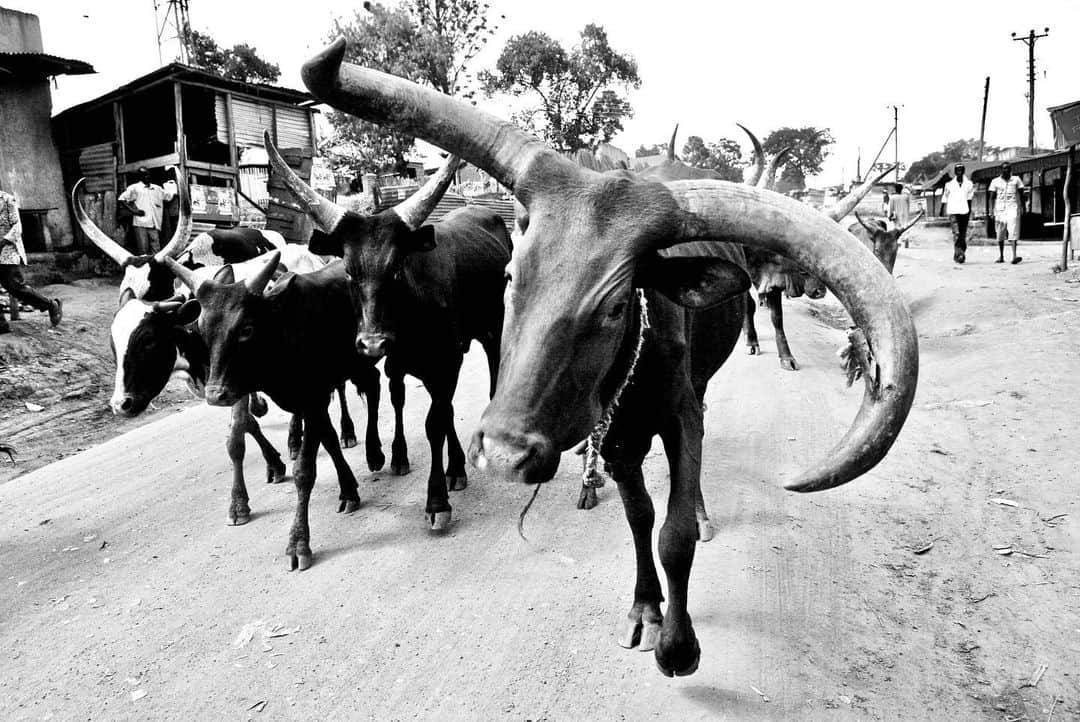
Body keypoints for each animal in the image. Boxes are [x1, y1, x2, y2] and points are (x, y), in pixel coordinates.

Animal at [263, 133, 511, 528]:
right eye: (349, 271)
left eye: (396, 269)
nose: (372, 344)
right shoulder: (401, 364)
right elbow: (405, 401)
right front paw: (403, 457)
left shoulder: (447, 360)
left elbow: (435, 422)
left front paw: (437, 499)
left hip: (492, 327)